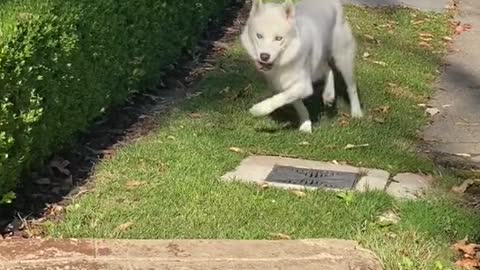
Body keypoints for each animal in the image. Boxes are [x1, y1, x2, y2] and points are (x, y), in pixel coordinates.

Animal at [242, 0, 362, 132]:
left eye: (278, 38)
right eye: (259, 36)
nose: (264, 56)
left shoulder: (304, 86)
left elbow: (281, 98)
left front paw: (259, 109)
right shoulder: (285, 85)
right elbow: (297, 103)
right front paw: (305, 123)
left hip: (343, 59)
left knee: (351, 87)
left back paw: (357, 112)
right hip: (318, 61)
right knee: (328, 69)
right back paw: (328, 94)